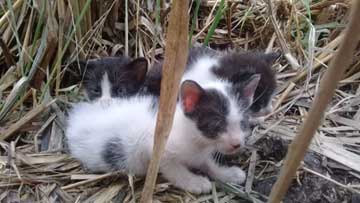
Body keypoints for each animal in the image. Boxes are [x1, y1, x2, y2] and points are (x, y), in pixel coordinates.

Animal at [66, 75, 260, 193]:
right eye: (216, 124)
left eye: (243, 122)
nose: (237, 144)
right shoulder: (154, 148)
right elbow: (175, 170)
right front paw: (195, 182)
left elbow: (207, 163)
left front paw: (227, 174)